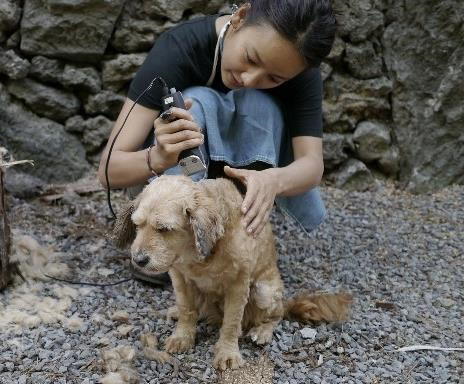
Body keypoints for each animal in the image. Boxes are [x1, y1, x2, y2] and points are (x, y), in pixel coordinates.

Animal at [113, 176, 352, 370]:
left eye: (164, 229)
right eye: (137, 225)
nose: (138, 260)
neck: (199, 254)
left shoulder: (238, 285)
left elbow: (230, 323)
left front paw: (227, 353)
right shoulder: (180, 277)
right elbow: (187, 309)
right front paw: (183, 336)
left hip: (263, 291)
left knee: (276, 314)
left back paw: (262, 331)